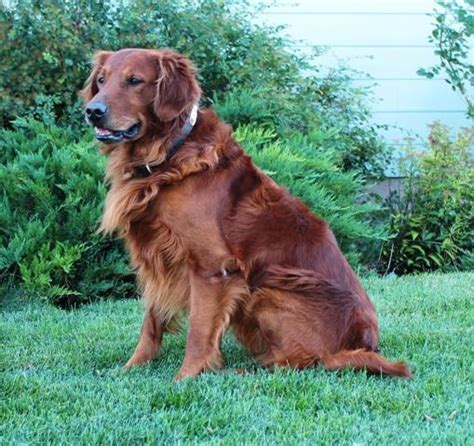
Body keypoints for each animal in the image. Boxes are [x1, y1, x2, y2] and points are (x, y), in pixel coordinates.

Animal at [82, 48, 412, 378]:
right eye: (102, 80)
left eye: (135, 80)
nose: (92, 110)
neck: (166, 156)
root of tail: (363, 345)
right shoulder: (158, 256)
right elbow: (151, 323)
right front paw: (131, 368)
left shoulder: (210, 268)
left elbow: (198, 332)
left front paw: (185, 377)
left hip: (269, 287)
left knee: (301, 361)